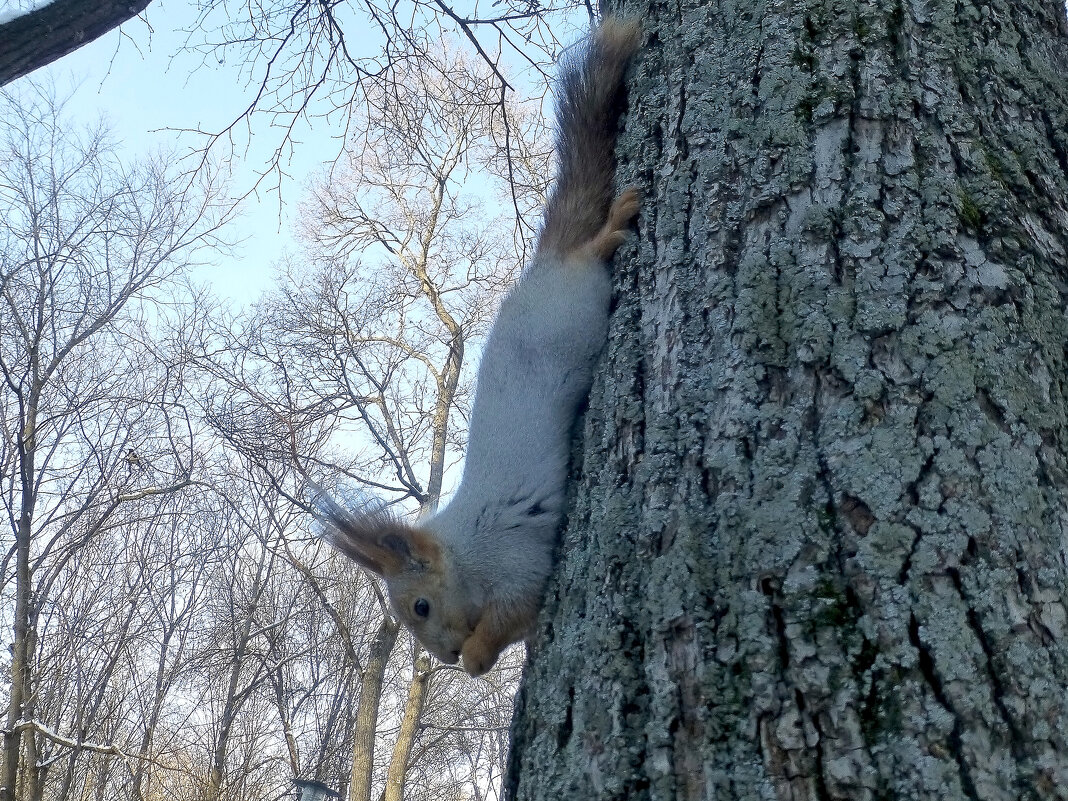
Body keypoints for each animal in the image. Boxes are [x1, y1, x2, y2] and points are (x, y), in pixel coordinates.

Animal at [311, 15, 636, 679]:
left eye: (422, 606)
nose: (443, 655)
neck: (463, 552)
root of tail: (543, 268)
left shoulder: (513, 563)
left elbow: (513, 611)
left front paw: (478, 658)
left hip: (579, 307)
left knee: (589, 256)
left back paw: (612, 228)